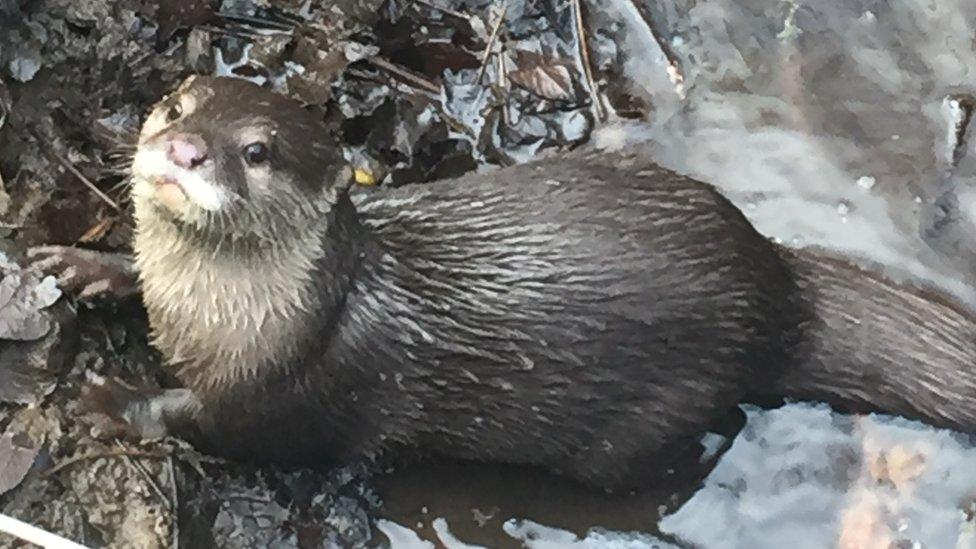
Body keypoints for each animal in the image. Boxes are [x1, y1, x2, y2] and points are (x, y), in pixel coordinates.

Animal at [30, 76, 976, 488]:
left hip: (657, 411)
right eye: (176, 107)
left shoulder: (295, 381)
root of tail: (777, 284)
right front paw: (89, 263)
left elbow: (221, 425)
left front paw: (113, 400)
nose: (186, 150)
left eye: (257, 151)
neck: (219, 315)